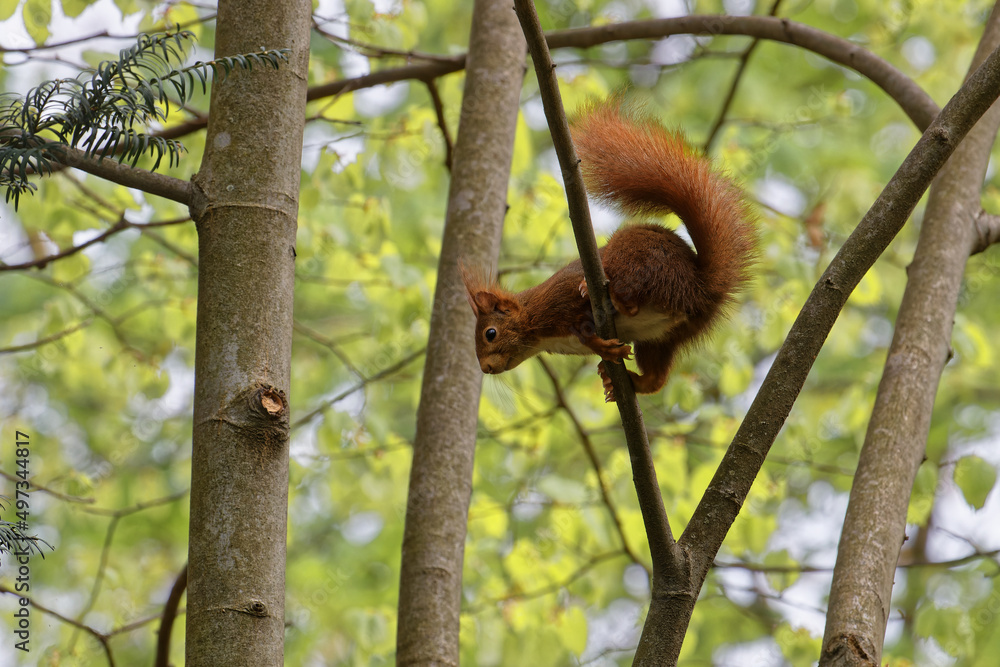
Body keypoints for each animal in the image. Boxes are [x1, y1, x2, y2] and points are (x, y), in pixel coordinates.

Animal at [461, 100, 758, 402]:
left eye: (490, 333)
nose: (485, 368)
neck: (534, 320)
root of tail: (700, 286)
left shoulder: (561, 298)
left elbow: (581, 322)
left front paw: (600, 345)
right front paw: (603, 352)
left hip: (634, 258)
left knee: (631, 301)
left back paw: (612, 296)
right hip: (664, 337)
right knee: (656, 379)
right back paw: (633, 381)